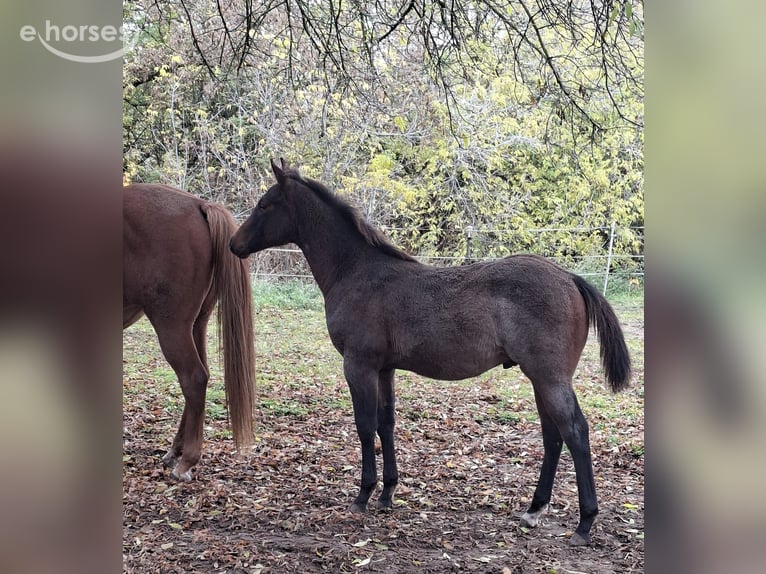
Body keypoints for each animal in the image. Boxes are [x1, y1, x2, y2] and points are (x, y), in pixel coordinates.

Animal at [124, 183, 256, 481]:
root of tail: (200, 205)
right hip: (196, 323)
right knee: (199, 377)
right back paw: (176, 451)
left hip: (172, 326)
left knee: (194, 378)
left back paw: (186, 461)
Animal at [230, 159, 631, 546]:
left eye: (265, 204)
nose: (235, 244)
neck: (356, 272)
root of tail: (570, 279)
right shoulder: (385, 369)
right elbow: (385, 423)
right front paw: (387, 493)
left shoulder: (358, 365)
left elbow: (364, 425)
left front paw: (364, 494)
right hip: (539, 379)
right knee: (553, 435)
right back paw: (534, 509)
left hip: (549, 377)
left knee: (575, 431)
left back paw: (584, 524)